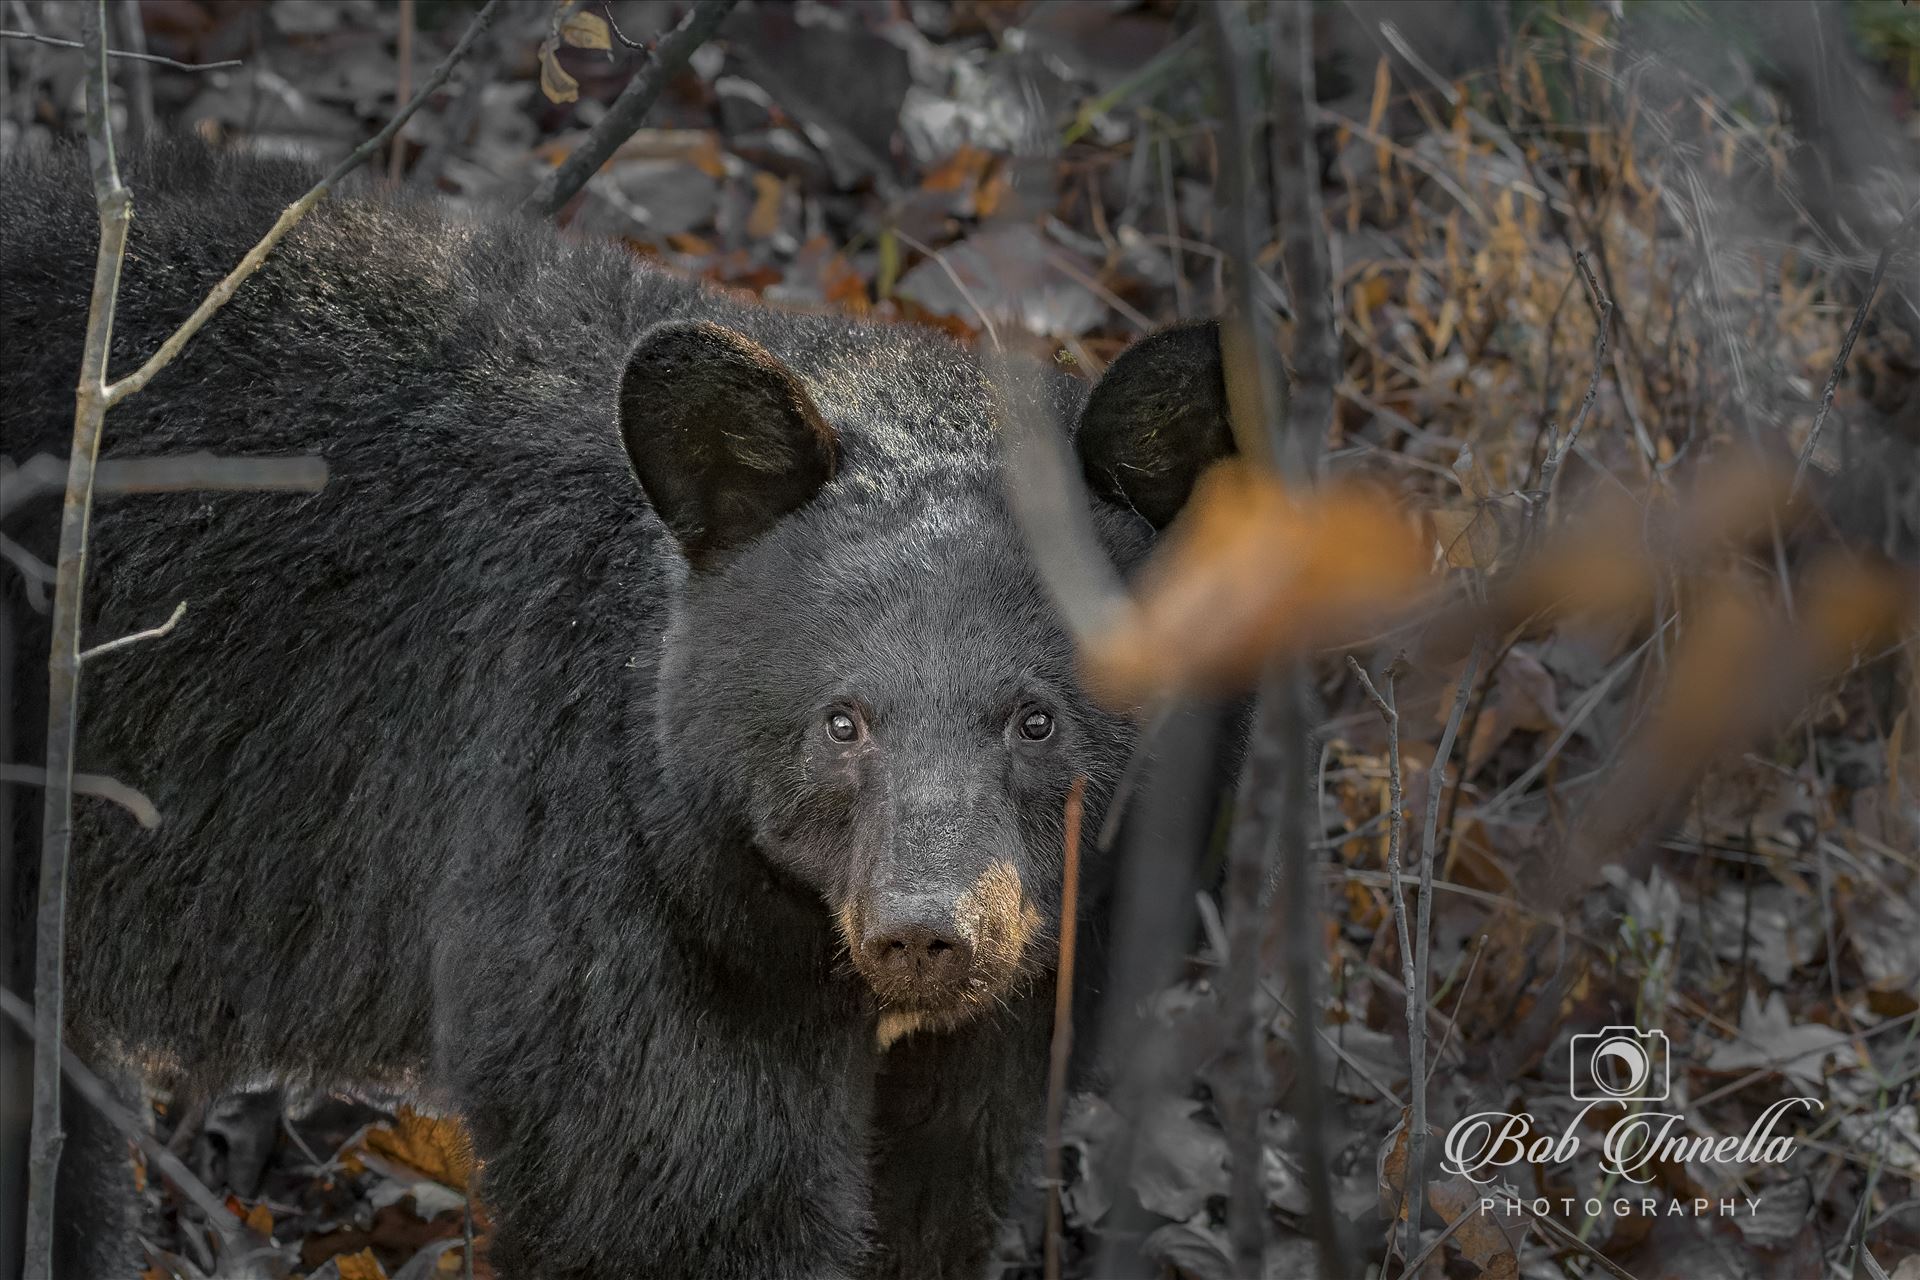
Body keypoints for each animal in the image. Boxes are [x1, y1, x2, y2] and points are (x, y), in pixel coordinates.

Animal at [0, 147, 1228, 1280]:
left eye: (1036, 720)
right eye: (842, 722)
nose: (924, 932)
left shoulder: (1027, 991)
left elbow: (939, 1188)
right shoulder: (606, 875)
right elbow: (671, 1189)